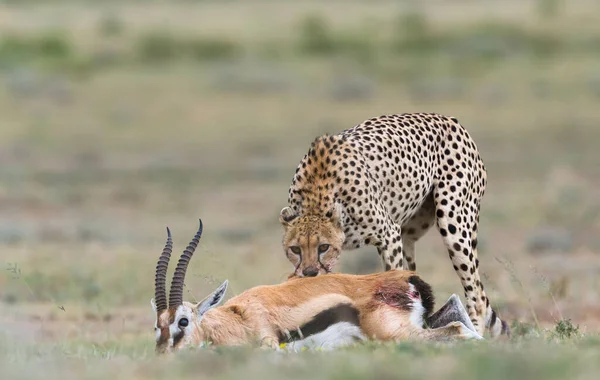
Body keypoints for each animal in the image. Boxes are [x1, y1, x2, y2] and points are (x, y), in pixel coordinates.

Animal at [278, 112, 508, 338]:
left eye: (324, 247)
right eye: (295, 249)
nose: (309, 273)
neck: (316, 195)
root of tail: (448, 118)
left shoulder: (388, 235)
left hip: (454, 224)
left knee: (477, 295)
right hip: (410, 232)